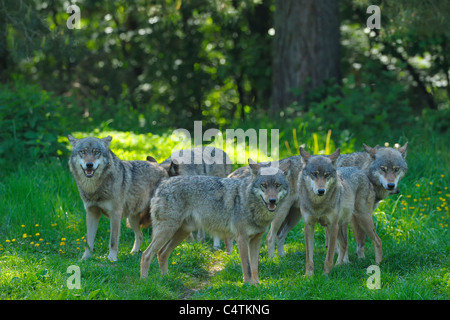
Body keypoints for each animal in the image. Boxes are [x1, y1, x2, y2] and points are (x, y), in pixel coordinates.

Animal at [68, 134, 169, 262]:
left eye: (97, 152)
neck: (95, 188)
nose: (89, 164)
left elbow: (113, 240)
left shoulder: (115, 214)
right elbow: (88, 241)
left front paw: (112, 259)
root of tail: (160, 166)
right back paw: (134, 253)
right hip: (132, 220)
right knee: (140, 235)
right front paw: (84, 259)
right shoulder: (91, 213)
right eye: (83, 152)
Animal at [139, 160, 292, 284]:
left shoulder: (256, 239)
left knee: (161, 253)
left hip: (181, 233)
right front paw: (248, 285)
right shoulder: (241, 239)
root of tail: (163, 184)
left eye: (277, 185)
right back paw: (145, 281)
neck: (249, 203)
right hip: (167, 232)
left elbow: (255, 267)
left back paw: (166, 278)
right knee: (146, 254)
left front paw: (257, 285)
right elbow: (247, 267)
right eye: (264, 185)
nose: (272, 201)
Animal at [300, 148, 382, 276]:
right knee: (344, 244)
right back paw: (339, 266)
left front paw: (325, 275)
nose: (321, 191)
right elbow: (309, 258)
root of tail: (361, 172)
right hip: (341, 225)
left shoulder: (332, 226)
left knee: (378, 240)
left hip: (362, 220)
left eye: (326, 175)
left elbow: (328, 257)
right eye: (314, 174)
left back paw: (378, 264)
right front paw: (308, 276)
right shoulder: (309, 226)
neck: (318, 205)